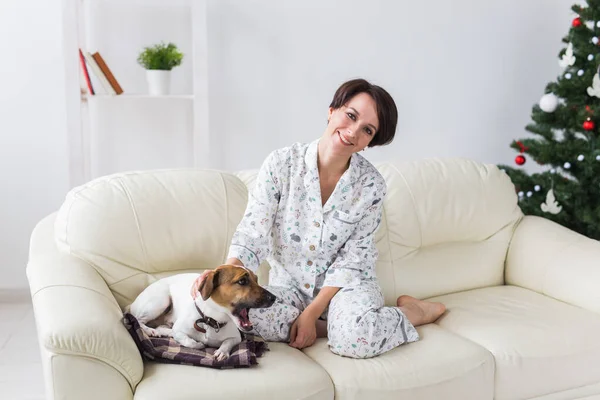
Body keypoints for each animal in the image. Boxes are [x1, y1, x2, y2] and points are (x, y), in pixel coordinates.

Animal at [128, 264, 276, 360]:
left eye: (256, 280)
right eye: (242, 281)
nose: (274, 297)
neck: (212, 320)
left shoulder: (236, 337)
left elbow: (227, 342)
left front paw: (222, 351)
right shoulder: (179, 330)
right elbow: (189, 341)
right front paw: (198, 343)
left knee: (160, 325)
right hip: (161, 300)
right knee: (138, 319)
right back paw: (150, 330)